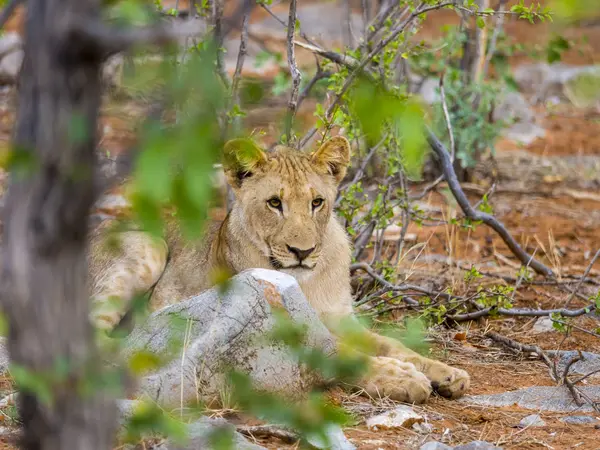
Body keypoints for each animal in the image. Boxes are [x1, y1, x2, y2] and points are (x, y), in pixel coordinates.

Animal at [90, 135, 468, 402]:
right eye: (274, 203)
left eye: (317, 202)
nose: (302, 252)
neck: (308, 281)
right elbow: (343, 354)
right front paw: (403, 378)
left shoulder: (339, 317)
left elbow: (391, 345)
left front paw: (446, 373)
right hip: (149, 245)